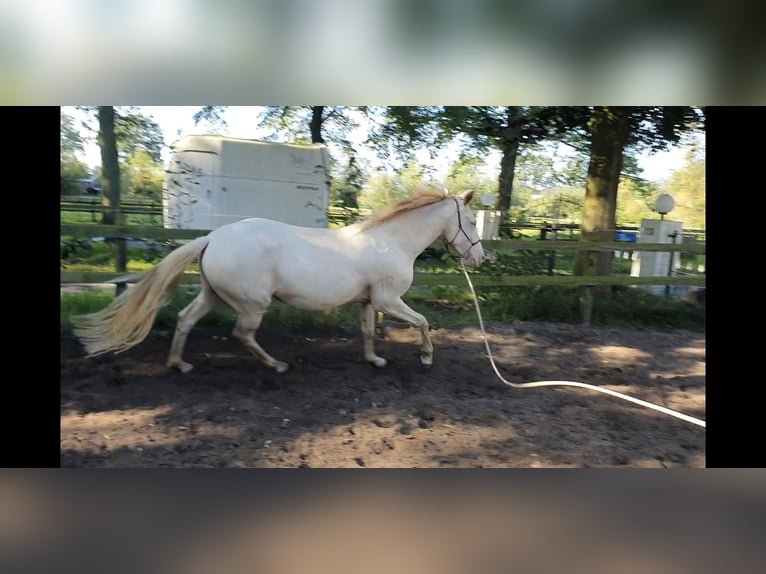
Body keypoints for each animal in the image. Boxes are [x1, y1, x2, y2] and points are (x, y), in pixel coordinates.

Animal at [75, 189, 488, 374]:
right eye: (470, 221)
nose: (479, 259)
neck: (391, 241)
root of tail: (212, 237)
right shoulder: (389, 301)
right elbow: (424, 322)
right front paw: (426, 357)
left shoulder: (370, 302)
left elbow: (368, 332)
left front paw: (375, 359)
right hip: (253, 304)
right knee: (242, 334)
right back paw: (276, 365)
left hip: (212, 295)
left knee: (185, 319)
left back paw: (180, 364)